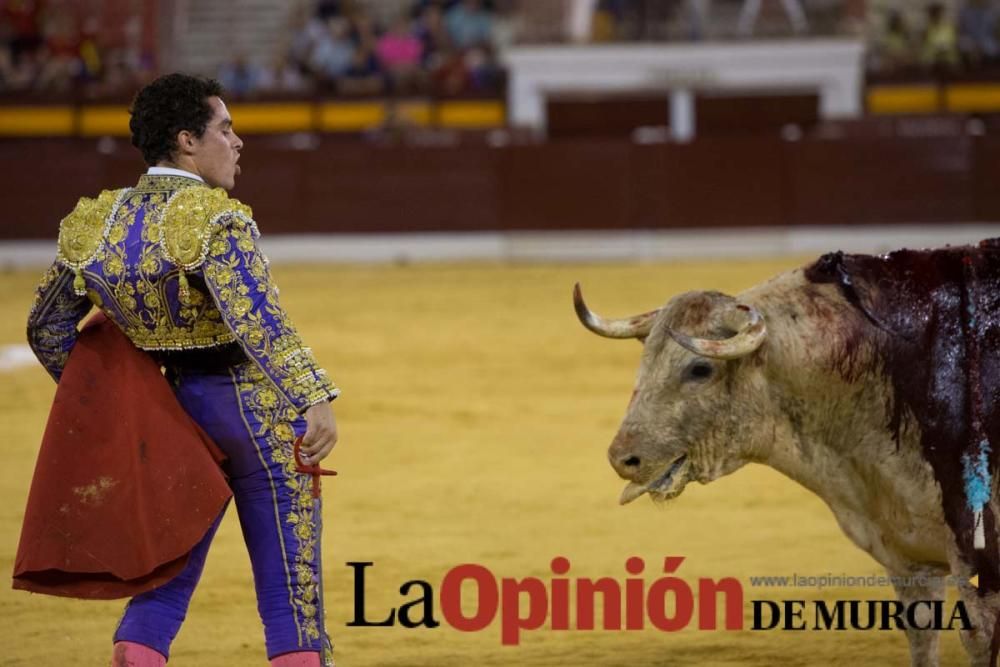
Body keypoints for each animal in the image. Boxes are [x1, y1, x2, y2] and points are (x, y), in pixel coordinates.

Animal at [576, 247, 1000, 667]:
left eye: (700, 368)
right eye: (645, 359)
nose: (622, 458)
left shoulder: (978, 558)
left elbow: (978, 637)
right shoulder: (906, 555)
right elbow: (922, 634)